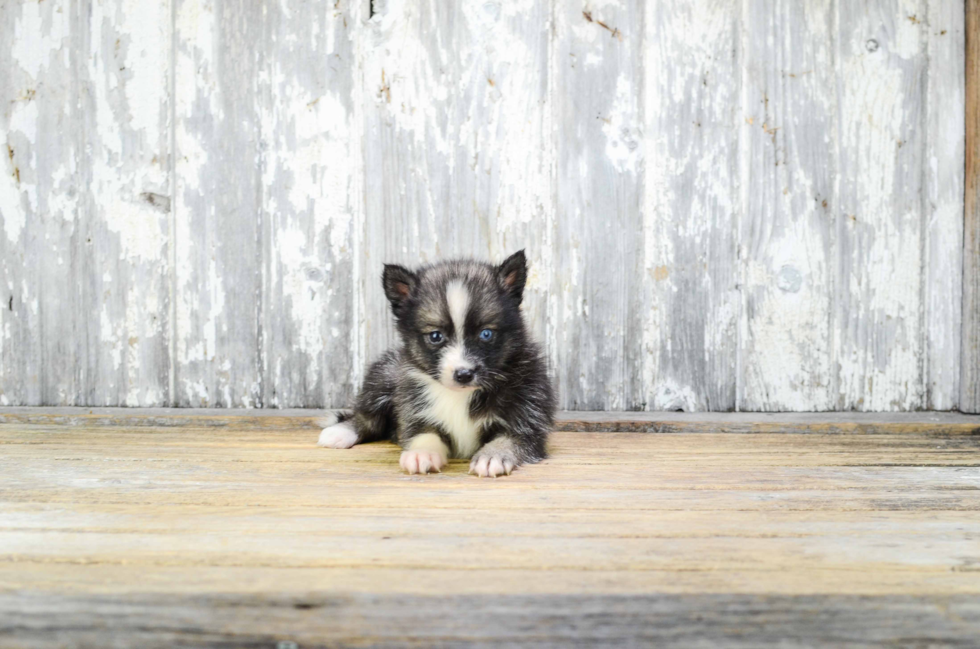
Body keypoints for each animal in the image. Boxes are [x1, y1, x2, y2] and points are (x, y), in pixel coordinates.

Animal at [318, 251, 556, 478]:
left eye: (486, 334)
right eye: (435, 336)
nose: (463, 374)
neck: (461, 395)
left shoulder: (527, 417)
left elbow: (510, 438)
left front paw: (493, 455)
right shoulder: (414, 408)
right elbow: (425, 432)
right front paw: (421, 453)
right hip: (384, 375)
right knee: (368, 418)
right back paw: (341, 431)